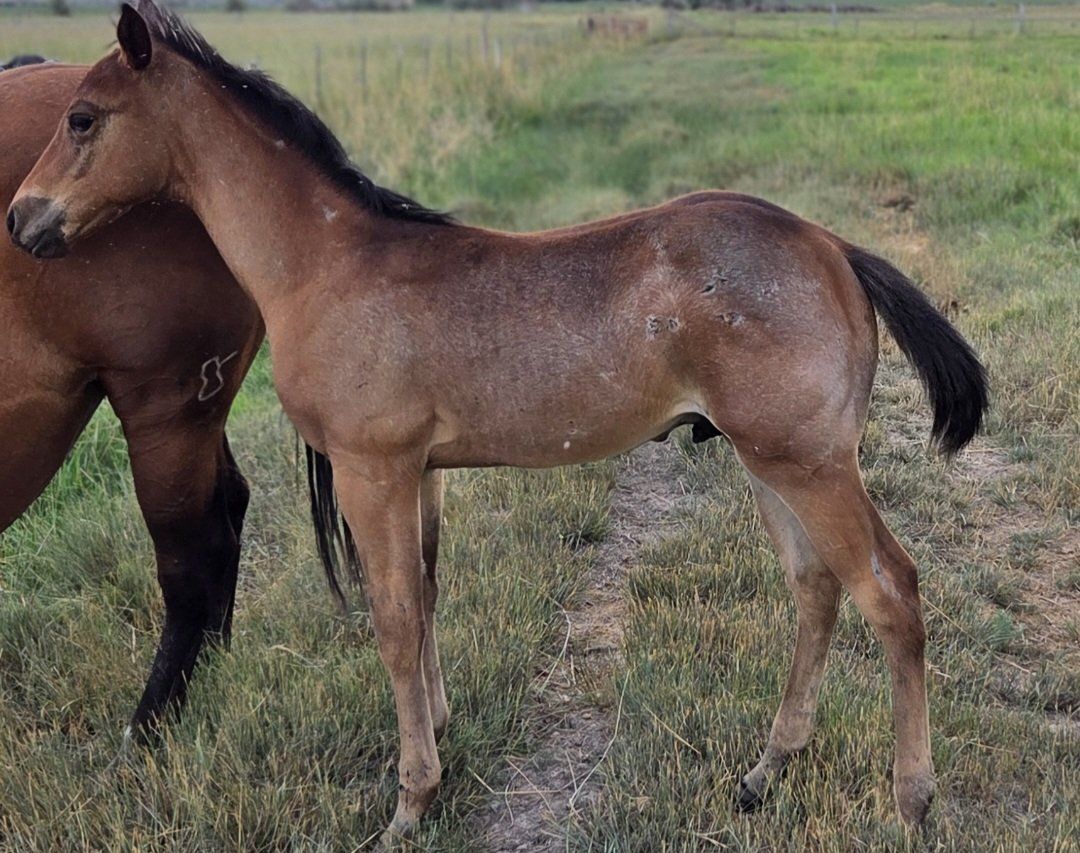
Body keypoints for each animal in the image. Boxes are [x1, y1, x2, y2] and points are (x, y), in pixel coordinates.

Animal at [0, 59, 263, 738]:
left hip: (166, 414)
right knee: (230, 508)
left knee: (194, 560)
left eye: (83, 122)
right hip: (196, 411)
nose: (18, 223)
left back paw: (148, 728)